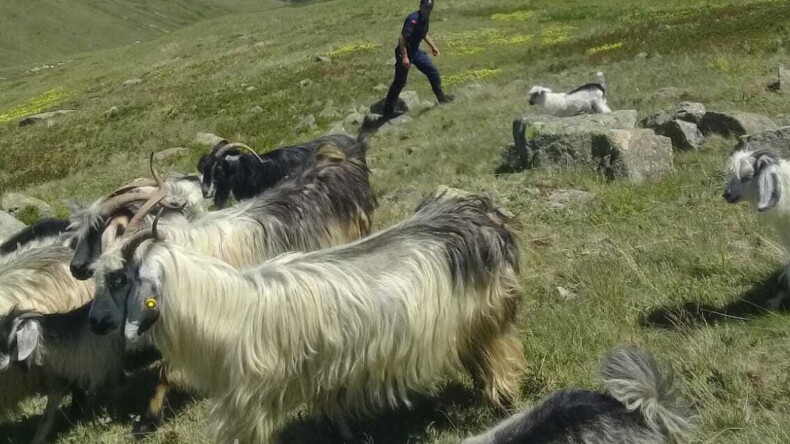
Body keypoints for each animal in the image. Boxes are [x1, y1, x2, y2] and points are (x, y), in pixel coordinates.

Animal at [91, 187, 524, 444]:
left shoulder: (249, 403)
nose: (95, 323)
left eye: (118, 278)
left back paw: (503, 406)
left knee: (499, 361)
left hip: (487, 320)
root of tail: (479, 213)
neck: (224, 307)